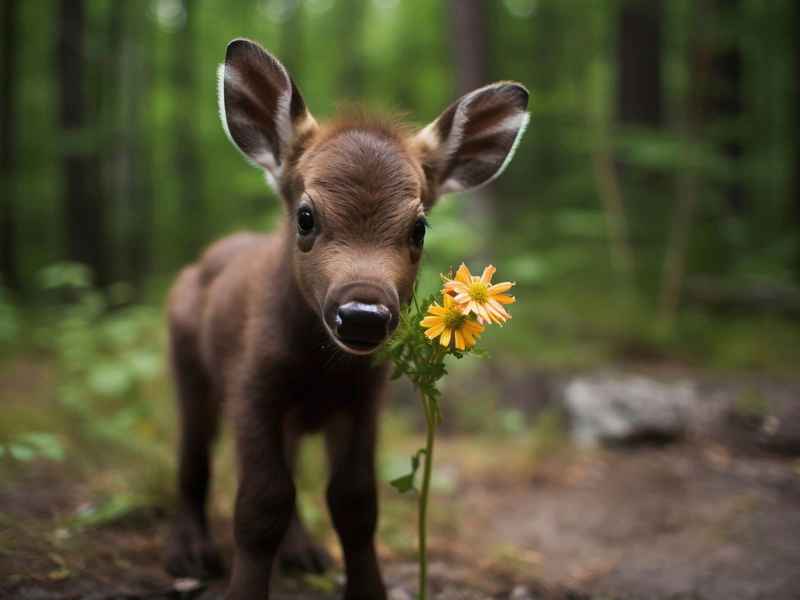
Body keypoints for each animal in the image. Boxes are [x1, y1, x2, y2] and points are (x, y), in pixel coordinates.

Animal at [164, 38, 529, 600]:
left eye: (419, 227)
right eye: (306, 216)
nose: (362, 315)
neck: (320, 368)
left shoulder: (363, 399)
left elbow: (354, 502)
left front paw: (366, 588)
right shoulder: (252, 385)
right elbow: (259, 504)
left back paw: (303, 553)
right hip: (190, 369)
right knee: (193, 459)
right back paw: (190, 553)